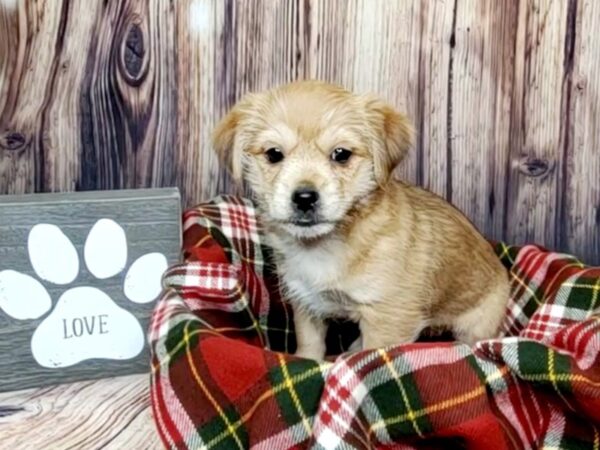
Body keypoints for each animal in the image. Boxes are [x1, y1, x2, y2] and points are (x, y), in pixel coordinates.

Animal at [213, 81, 508, 360]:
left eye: (341, 154)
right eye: (274, 154)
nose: (305, 197)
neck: (323, 246)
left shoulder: (387, 318)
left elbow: (372, 356)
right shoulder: (306, 303)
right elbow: (310, 347)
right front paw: (310, 362)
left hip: (475, 326)